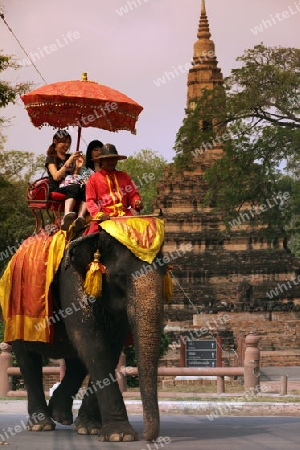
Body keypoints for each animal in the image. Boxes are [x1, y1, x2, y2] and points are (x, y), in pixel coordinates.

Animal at [7, 229, 165, 442]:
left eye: (164, 272)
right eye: (121, 277)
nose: (149, 437)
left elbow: (110, 348)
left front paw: (90, 429)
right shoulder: (70, 280)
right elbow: (93, 341)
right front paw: (120, 435)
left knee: (77, 360)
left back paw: (60, 414)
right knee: (27, 359)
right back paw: (42, 425)